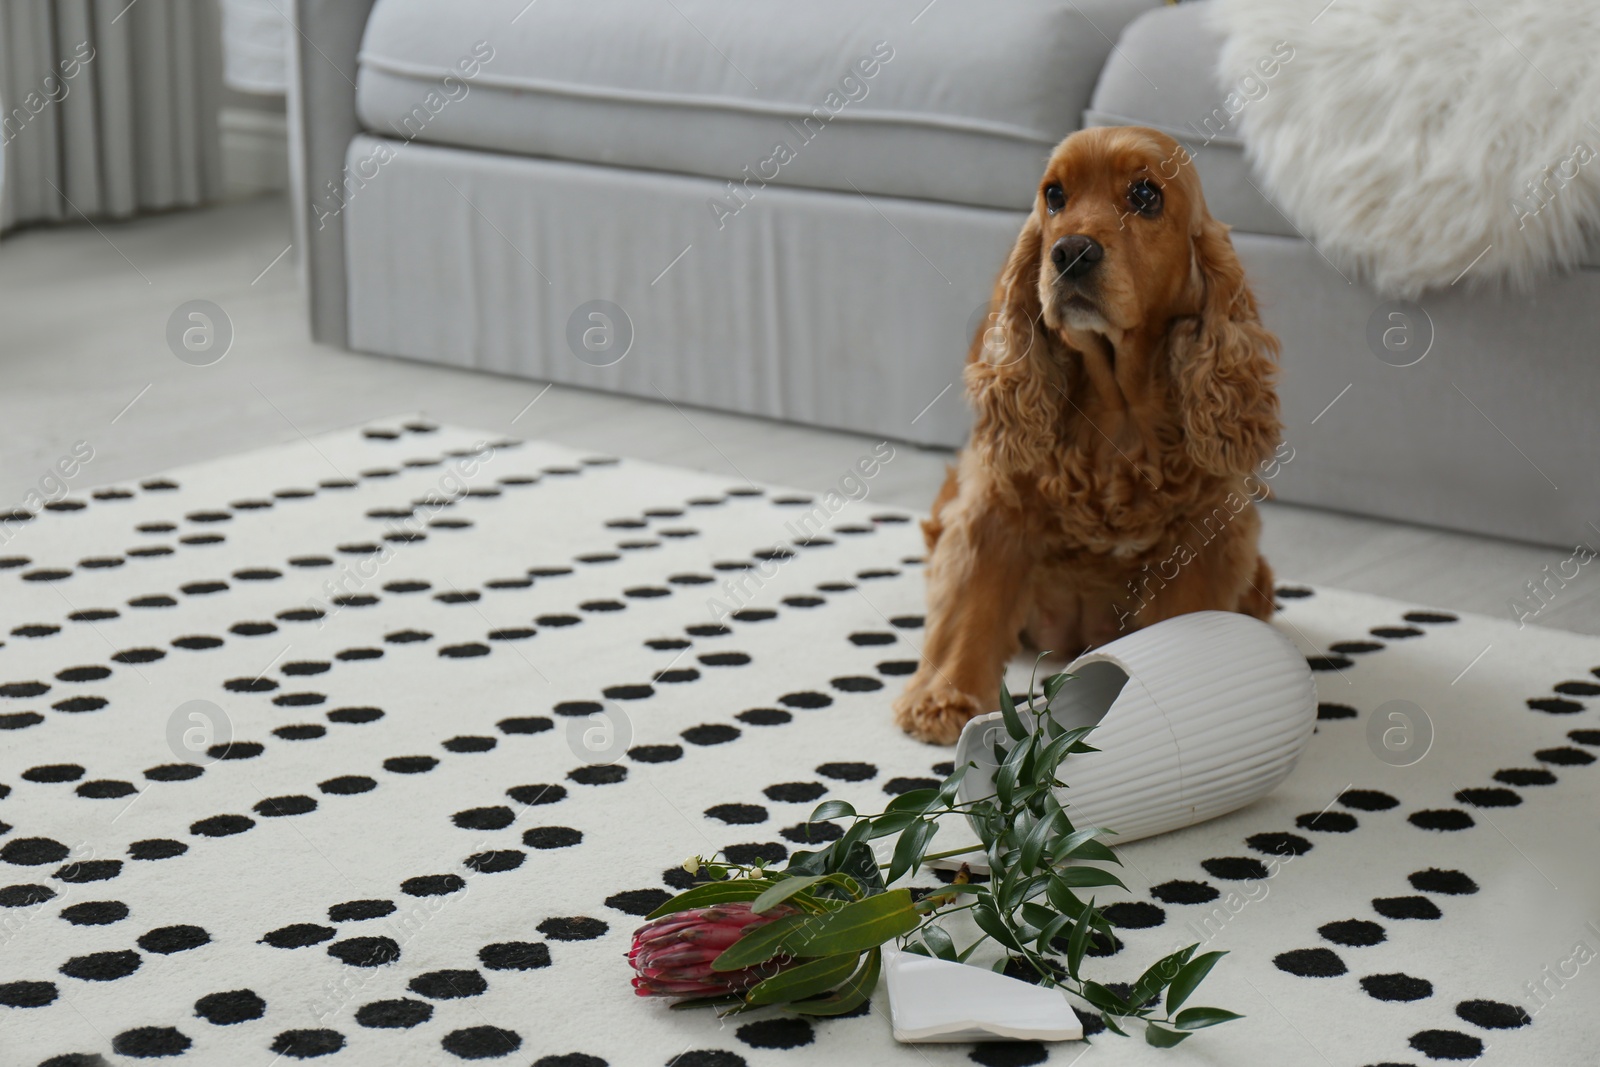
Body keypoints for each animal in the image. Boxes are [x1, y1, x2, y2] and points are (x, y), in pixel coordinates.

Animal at [896, 127, 1280, 742]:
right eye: (1054, 195)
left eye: (1146, 195)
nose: (1071, 251)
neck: (1117, 411)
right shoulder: (993, 510)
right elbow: (972, 606)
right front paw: (944, 699)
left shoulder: (1205, 536)